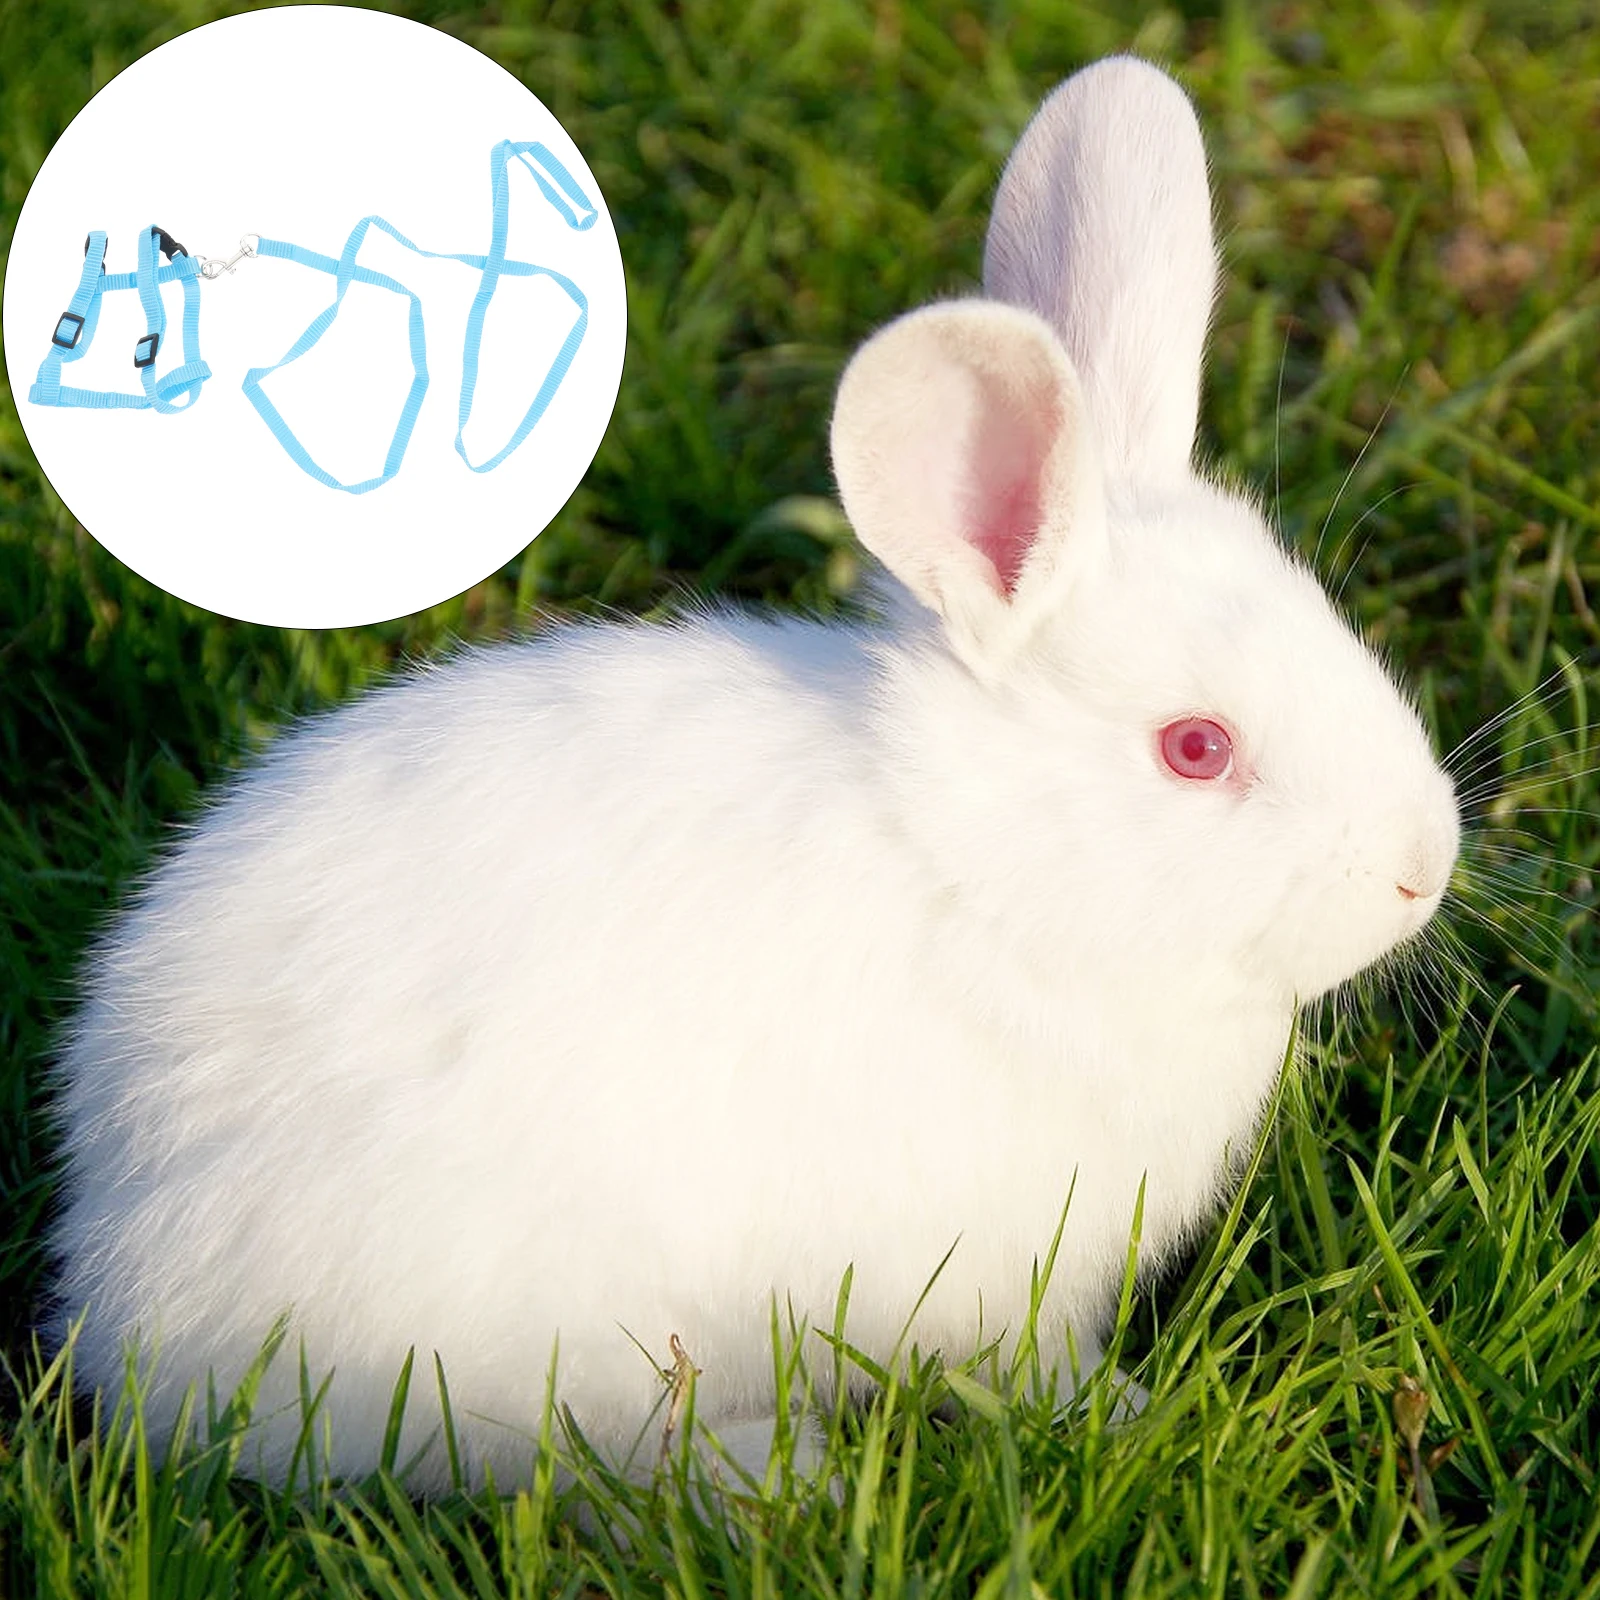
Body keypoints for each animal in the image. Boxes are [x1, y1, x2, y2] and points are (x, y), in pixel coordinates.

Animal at [47, 55, 1461, 1492]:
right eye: (1196, 749)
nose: (1423, 868)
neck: (975, 871)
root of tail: (124, 1288)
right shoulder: (985, 1280)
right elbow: (1020, 1362)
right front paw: (1109, 1410)